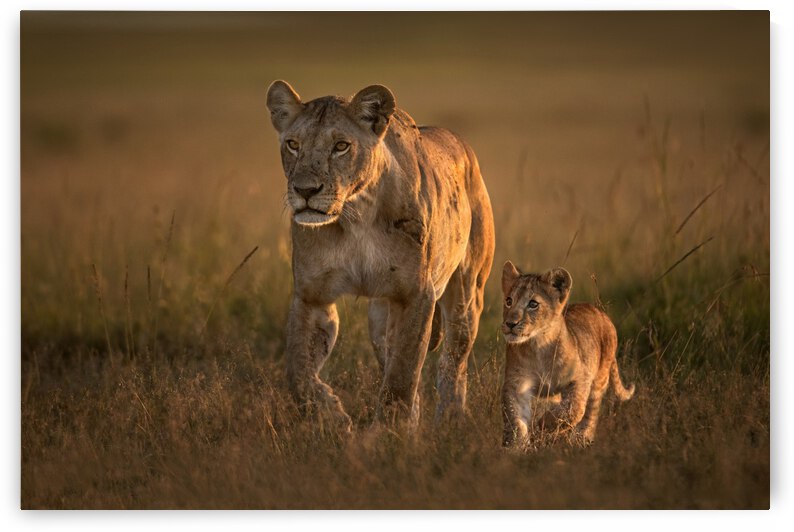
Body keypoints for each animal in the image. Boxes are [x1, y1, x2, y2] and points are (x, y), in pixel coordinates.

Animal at [265, 80, 495, 430]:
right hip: (379, 317)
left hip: (467, 293)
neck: (355, 215)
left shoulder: (416, 295)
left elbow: (402, 375)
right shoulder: (312, 296)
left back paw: (450, 421)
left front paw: (389, 434)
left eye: (341, 146)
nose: (305, 191)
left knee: (453, 361)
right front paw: (332, 416)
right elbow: (299, 373)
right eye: (292, 144)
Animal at [500, 261, 635, 446]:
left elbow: (574, 408)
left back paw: (580, 440)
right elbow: (515, 419)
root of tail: (601, 313)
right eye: (508, 301)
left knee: (590, 413)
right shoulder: (517, 383)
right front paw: (515, 446)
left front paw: (543, 425)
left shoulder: (580, 378)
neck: (538, 345)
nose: (510, 323)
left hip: (599, 379)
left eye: (533, 304)